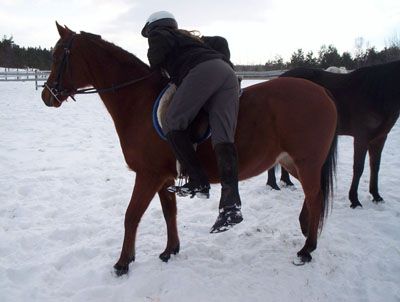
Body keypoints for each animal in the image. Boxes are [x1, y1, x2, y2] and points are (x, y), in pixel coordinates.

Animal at [40, 24, 336, 276]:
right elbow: (169, 212)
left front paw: (123, 263)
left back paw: (307, 249)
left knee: (315, 197)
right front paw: (170, 250)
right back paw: (305, 230)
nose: (46, 95)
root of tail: (323, 92)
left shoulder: (148, 175)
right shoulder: (164, 178)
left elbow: (131, 216)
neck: (138, 102)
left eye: (57, 56)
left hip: (306, 163)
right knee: (313, 196)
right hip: (292, 163)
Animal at [266, 61, 400, 208]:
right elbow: (358, 168)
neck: (377, 94)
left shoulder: (380, 138)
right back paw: (272, 185)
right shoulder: (361, 138)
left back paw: (287, 182)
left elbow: (375, 166)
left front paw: (376, 196)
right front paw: (354, 200)